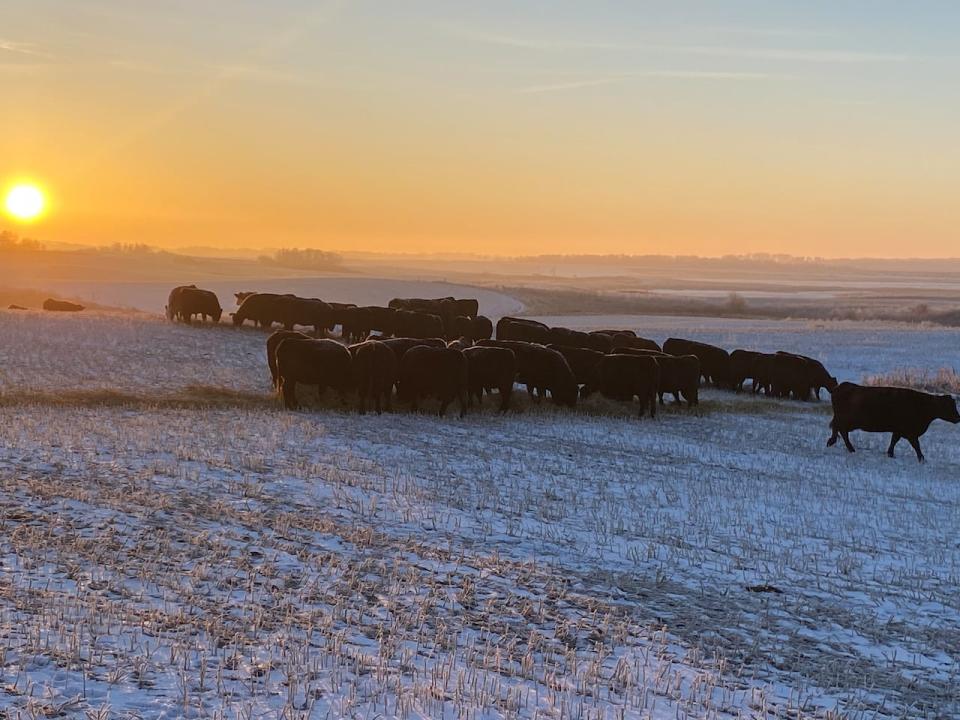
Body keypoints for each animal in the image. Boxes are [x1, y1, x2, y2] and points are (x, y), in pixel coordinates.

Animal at [824, 382, 960, 462]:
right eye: (948, 406)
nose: (958, 418)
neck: (922, 405)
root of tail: (840, 387)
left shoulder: (899, 430)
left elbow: (894, 441)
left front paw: (890, 453)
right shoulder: (909, 432)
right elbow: (916, 445)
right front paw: (921, 458)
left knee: (838, 429)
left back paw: (834, 442)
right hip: (846, 420)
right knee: (842, 431)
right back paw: (848, 447)